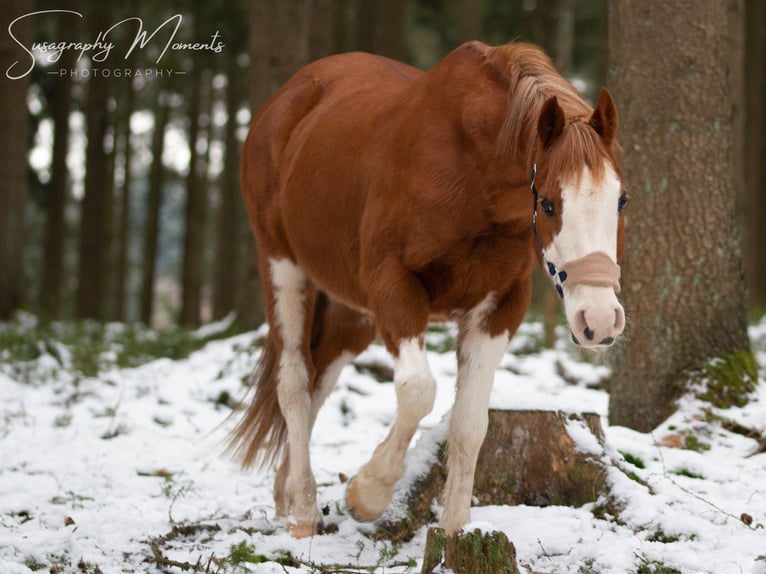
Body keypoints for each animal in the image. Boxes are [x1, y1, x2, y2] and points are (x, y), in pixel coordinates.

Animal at [231, 40, 628, 540]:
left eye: (622, 199)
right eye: (548, 203)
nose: (599, 320)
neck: (472, 175)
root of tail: (289, 98)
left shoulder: (500, 307)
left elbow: (470, 423)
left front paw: (455, 531)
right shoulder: (394, 286)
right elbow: (418, 391)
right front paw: (367, 492)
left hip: (348, 309)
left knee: (320, 380)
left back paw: (287, 495)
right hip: (283, 268)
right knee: (295, 382)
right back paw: (303, 510)